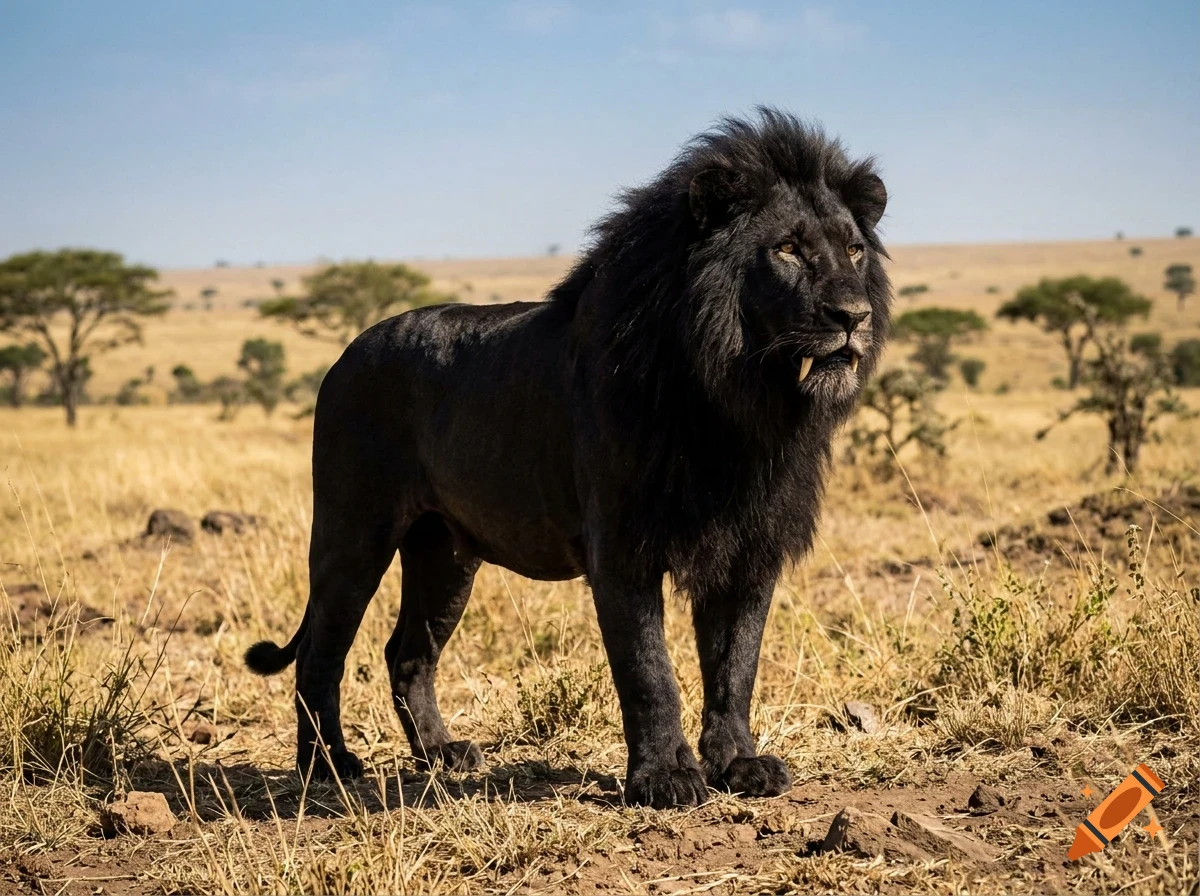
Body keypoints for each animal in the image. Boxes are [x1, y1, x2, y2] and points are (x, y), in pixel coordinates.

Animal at [246, 108, 891, 808]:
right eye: (789, 249)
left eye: (854, 250)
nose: (853, 315)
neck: (739, 398)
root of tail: (346, 353)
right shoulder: (623, 546)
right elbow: (648, 670)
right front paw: (665, 778)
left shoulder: (750, 547)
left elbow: (735, 665)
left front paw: (739, 765)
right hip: (354, 531)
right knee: (322, 653)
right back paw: (328, 765)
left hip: (446, 552)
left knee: (407, 651)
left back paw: (442, 755)